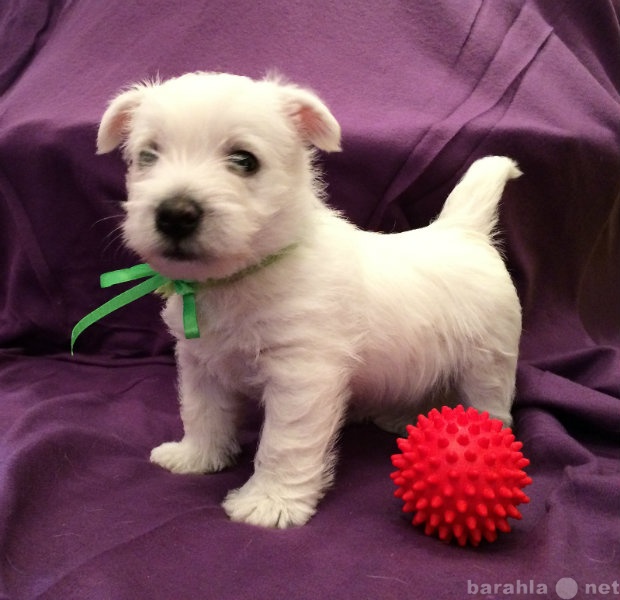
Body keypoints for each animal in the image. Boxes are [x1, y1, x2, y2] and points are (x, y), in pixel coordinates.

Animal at [98, 72, 524, 528]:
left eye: (244, 160)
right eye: (148, 156)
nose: (175, 214)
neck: (239, 278)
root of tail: (463, 231)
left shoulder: (300, 374)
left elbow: (283, 442)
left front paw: (269, 502)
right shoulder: (201, 364)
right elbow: (202, 413)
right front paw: (195, 457)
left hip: (488, 365)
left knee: (490, 405)